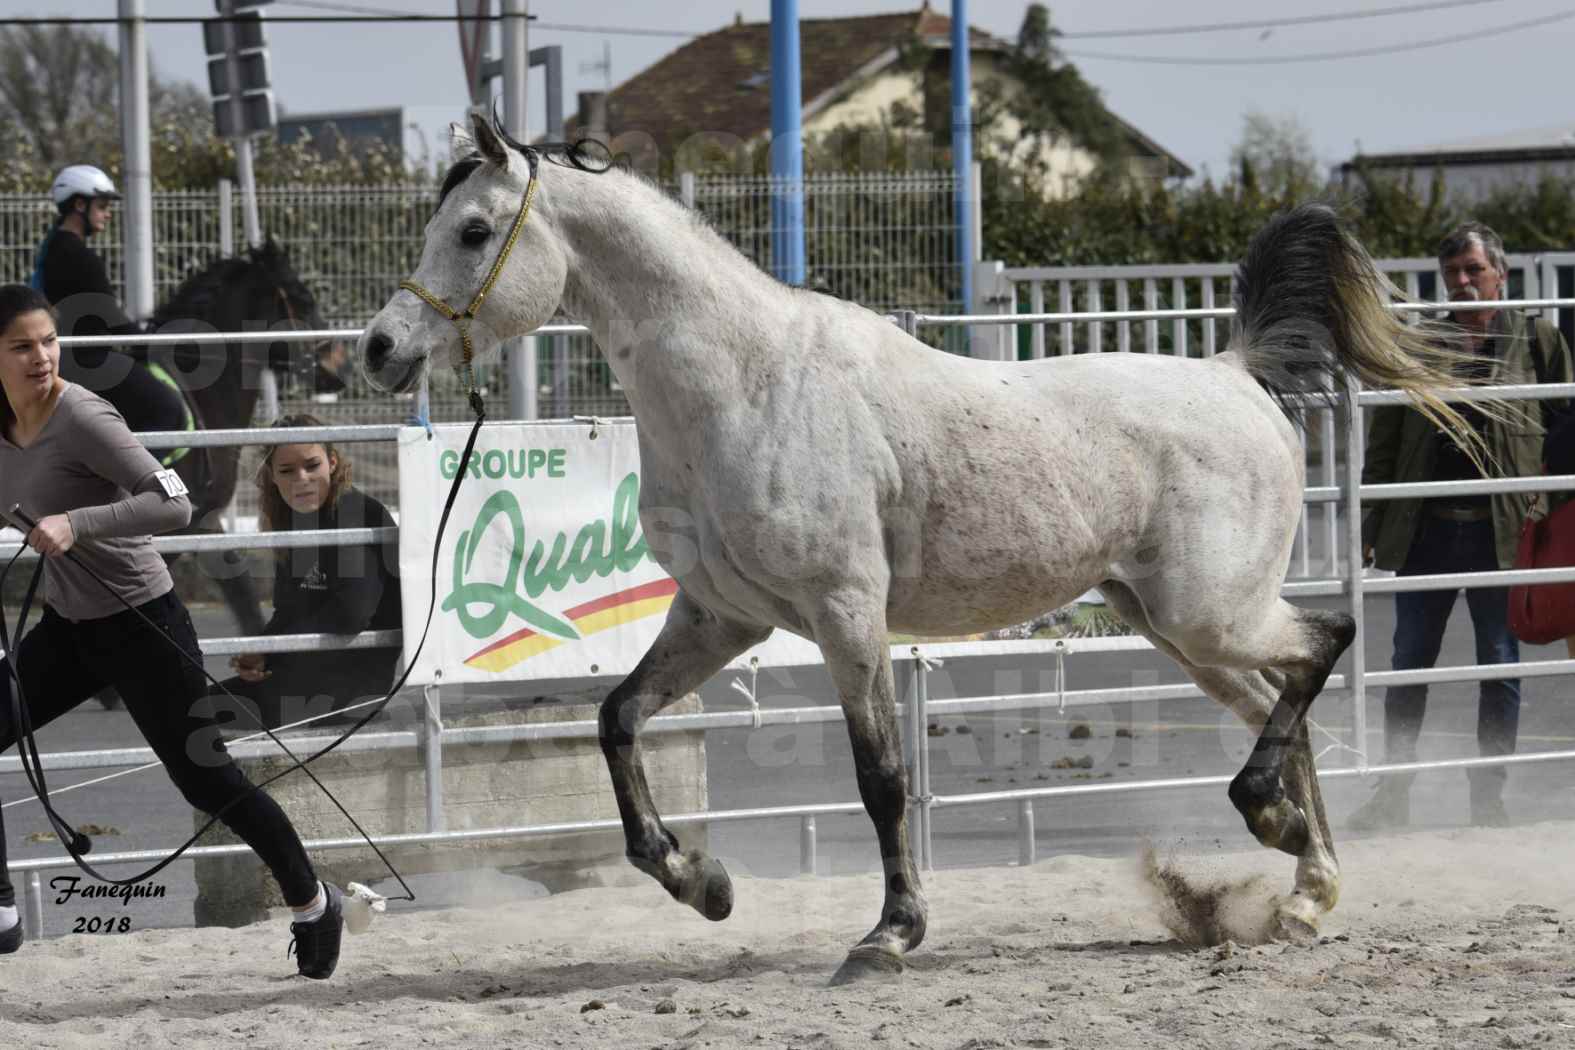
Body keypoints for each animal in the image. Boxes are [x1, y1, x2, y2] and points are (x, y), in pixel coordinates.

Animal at [362, 114, 1493, 988]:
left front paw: (888, 936)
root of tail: (1234, 371)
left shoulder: (844, 614)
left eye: (472, 230)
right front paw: (702, 884)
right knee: (1278, 705)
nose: (380, 349)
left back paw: (1277, 835)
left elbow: (881, 779)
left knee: (1324, 642)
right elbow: (615, 720)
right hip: (1176, 628)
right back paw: (1303, 887)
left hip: (1208, 612)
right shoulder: (722, 617)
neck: (742, 383)